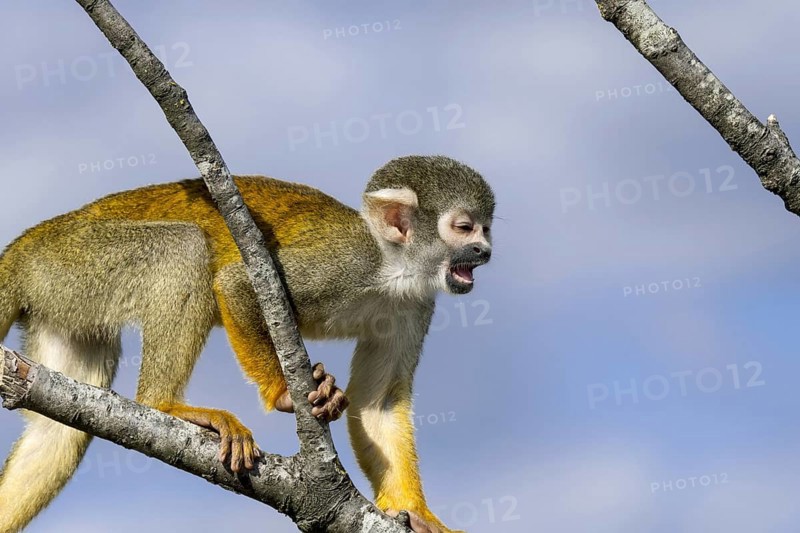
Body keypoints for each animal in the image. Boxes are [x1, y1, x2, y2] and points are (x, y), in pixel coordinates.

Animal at [0, 155, 494, 533]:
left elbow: (379, 402)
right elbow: (236, 283)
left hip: (62, 295)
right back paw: (163, 404)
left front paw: (417, 513)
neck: (393, 271)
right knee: (183, 248)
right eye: (464, 228)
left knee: (58, 434)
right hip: (72, 260)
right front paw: (284, 395)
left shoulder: (416, 304)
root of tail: (24, 247)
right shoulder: (346, 261)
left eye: (486, 228)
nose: (486, 251)